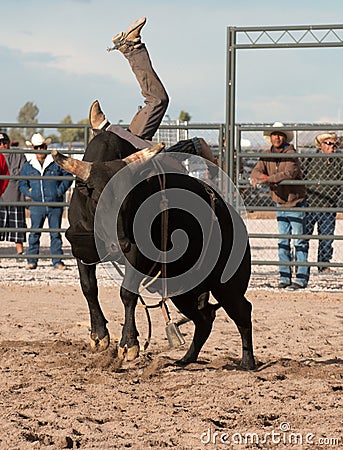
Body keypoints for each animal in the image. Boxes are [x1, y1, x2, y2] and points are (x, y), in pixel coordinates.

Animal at [51, 131, 255, 370]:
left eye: (129, 199)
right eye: (98, 199)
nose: (121, 244)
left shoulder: (137, 253)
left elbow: (127, 293)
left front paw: (129, 344)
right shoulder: (82, 250)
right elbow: (89, 287)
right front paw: (99, 336)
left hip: (226, 284)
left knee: (242, 311)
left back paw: (247, 362)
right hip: (183, 290)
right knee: (204, 318)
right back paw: (186, 359)